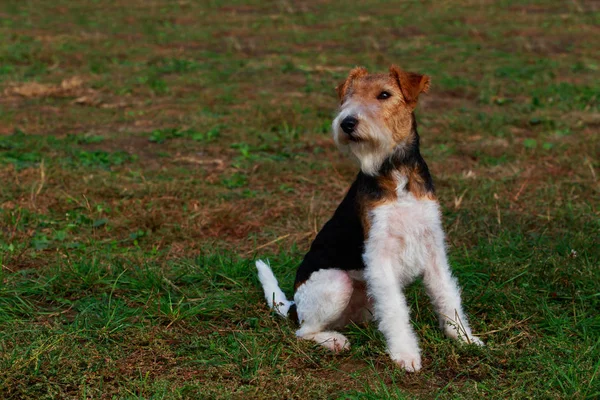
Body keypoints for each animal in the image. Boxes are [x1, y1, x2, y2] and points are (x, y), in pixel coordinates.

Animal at [254, 65, 482, 372]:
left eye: (384, 95)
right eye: (348, 96)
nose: (347, 123)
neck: (396, 171)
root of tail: (293, 305)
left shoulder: (432, 245)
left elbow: (447, 296)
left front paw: (465, 338)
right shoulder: (380, 254)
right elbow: (397, 311)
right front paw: (406, 355)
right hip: (337, 282)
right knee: (303, 331)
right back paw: (334, 341)